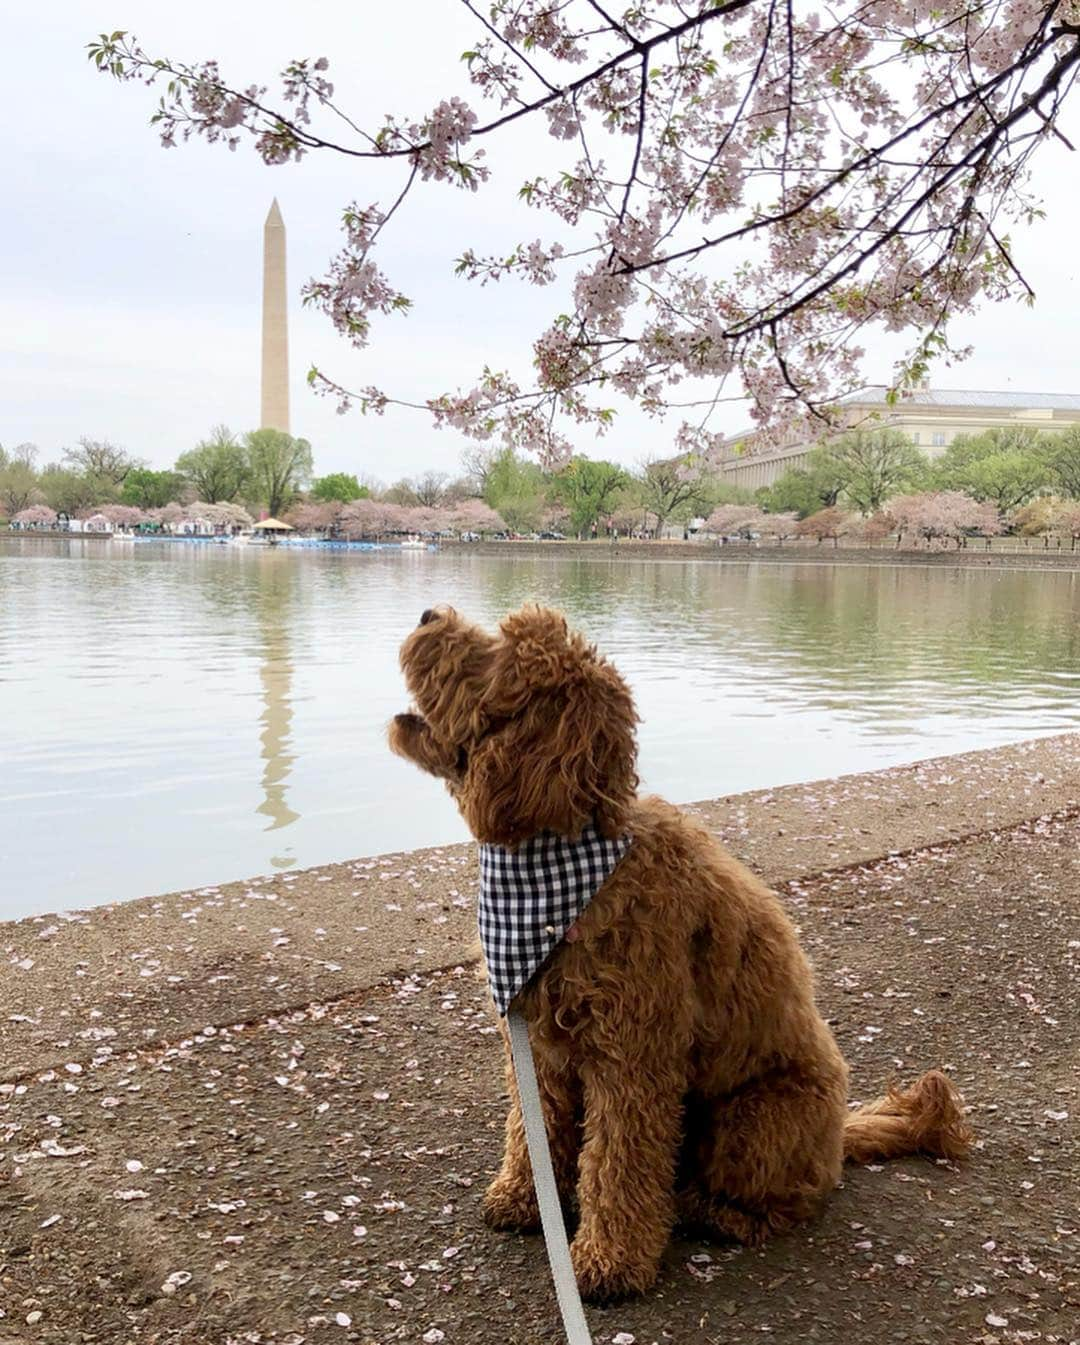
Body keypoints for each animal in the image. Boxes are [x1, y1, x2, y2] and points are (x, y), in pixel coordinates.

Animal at [387, 607, 973, 1301]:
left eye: (498, 653)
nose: (427, 613)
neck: (556, 864)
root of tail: (839, 1136)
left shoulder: (633, 1059)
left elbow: (617, 1163)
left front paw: (608, 1262)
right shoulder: (538, 1051)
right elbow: (536, 1131)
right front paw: (525, 1201)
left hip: (751, 1123)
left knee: (785, 1202)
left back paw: (707, 1211)